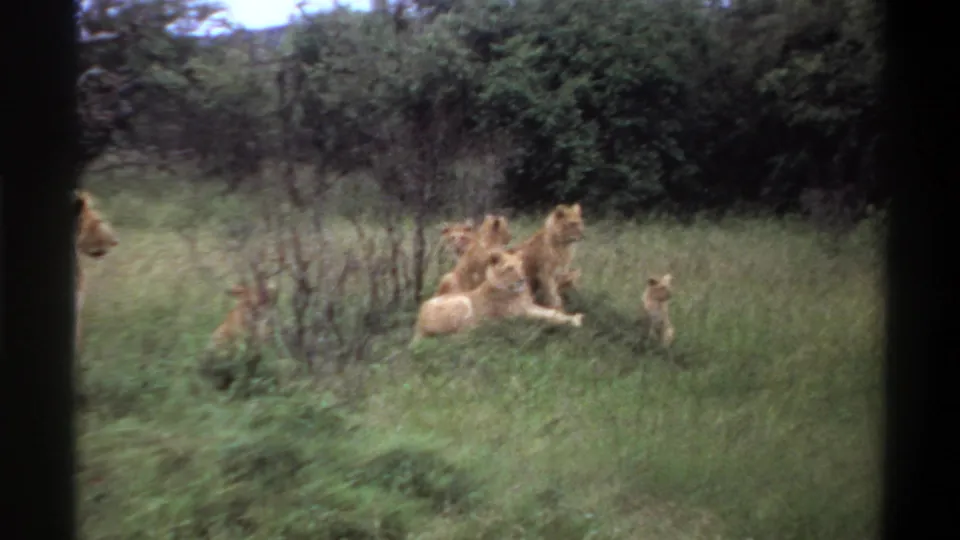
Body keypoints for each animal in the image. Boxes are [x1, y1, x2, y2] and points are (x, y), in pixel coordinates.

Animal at [412, 248, 584, 342]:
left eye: (521, 266)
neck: (518, 292)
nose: (523, 279)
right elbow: (545, 317)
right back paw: (486, 328)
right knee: (458, 334)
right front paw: (571, 321)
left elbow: (552, 312)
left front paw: (574, 317)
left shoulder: (530, 306)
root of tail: (418, 322)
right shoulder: (518, 315)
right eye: (510, 268)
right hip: (462, 301)